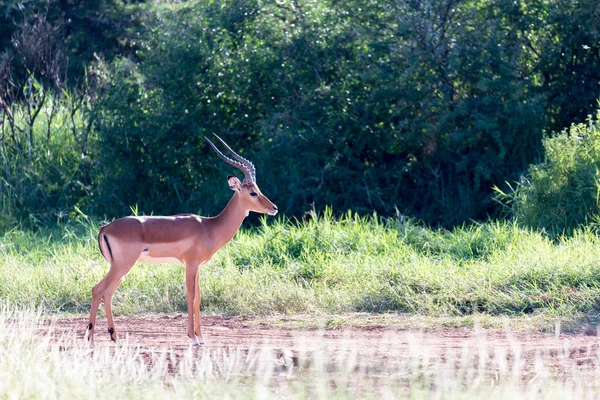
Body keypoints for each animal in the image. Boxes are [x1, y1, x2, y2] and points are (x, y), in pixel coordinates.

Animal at [85, 136, 278, 346]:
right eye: (252, 193)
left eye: (258, 189)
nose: (274, 208)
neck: (209, 227)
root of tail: (105, 228)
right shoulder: (190, 264)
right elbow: (191, 296)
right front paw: (193, 337)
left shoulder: (198, 266)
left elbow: (199, 297)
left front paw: (201, 337)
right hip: (122, 265)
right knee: (97, 290)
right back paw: (91, 339)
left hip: (120, 268)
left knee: (107, 293)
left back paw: (114, 337)